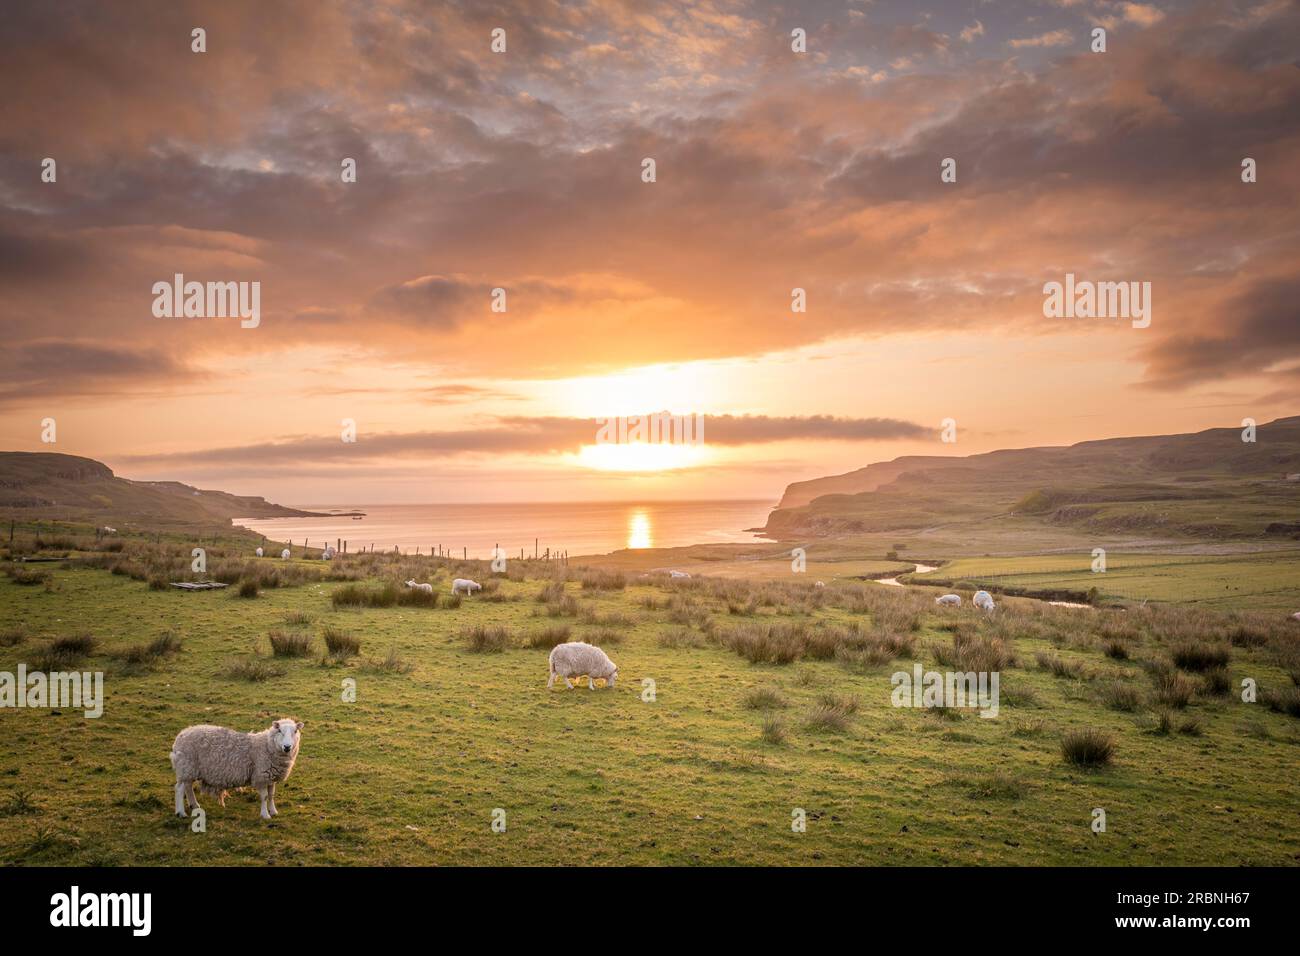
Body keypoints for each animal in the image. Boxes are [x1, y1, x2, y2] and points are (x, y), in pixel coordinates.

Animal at [170, 717, 304, 822]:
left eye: (295, 731)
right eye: (279, 731)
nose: (287, 747)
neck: (266, 746)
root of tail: (181, 735)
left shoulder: (271, 777)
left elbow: (271, 795)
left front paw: (273, 811)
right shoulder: (261, 776)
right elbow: (265, 797)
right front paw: (265, 815)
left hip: (189, 769)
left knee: (188, 787)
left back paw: (194, 805)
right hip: (186, 765)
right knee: (179, 788)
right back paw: (181, 812)